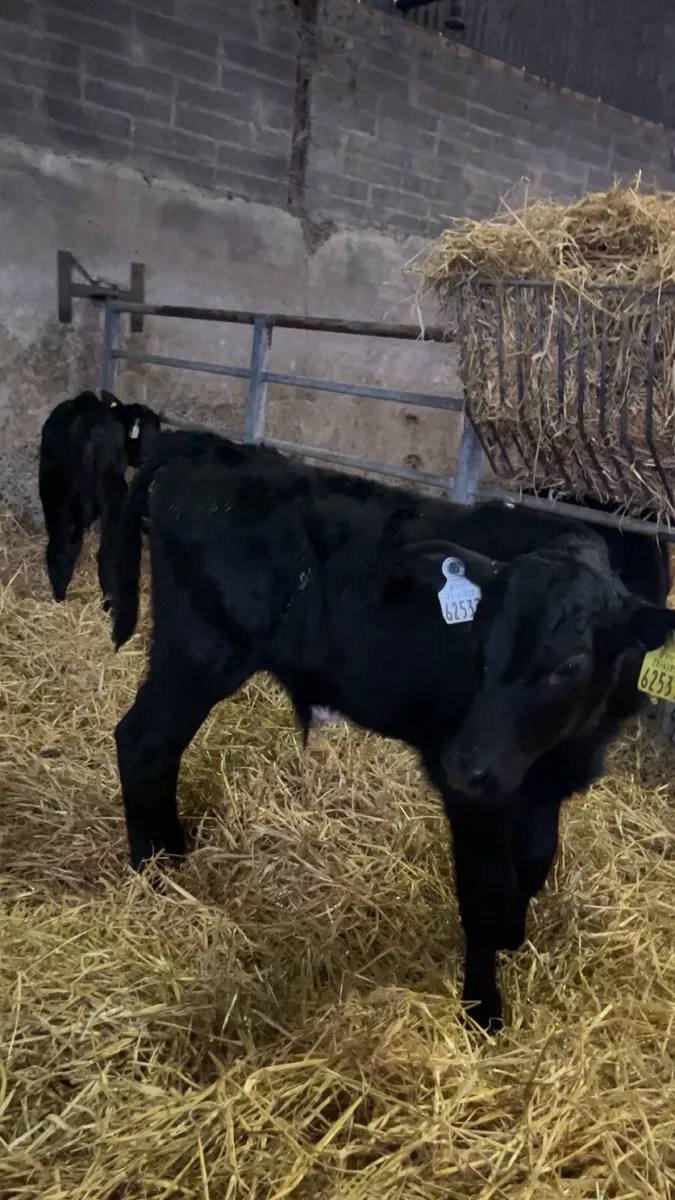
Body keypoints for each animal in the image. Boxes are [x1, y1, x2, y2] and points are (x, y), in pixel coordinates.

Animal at [38, 389, 161, 608]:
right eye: (152, 432)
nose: (149, 458)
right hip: (113, 494)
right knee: (108, 554)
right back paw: (110, 602)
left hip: (55, 493)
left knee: (61, 547)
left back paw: (59, 597)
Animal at [111, 448, 673, 1030]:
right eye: (479, 640)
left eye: (570, 666)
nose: (464, 762)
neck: (566, 747)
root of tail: (200, 451)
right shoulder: (474, 798)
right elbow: (486, 888)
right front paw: (483, 1009)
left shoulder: (541, 781)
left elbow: (535, 862)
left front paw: (513, 939)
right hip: (198, 653)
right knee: (143, 743)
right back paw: (154, 871)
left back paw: (173, 857)